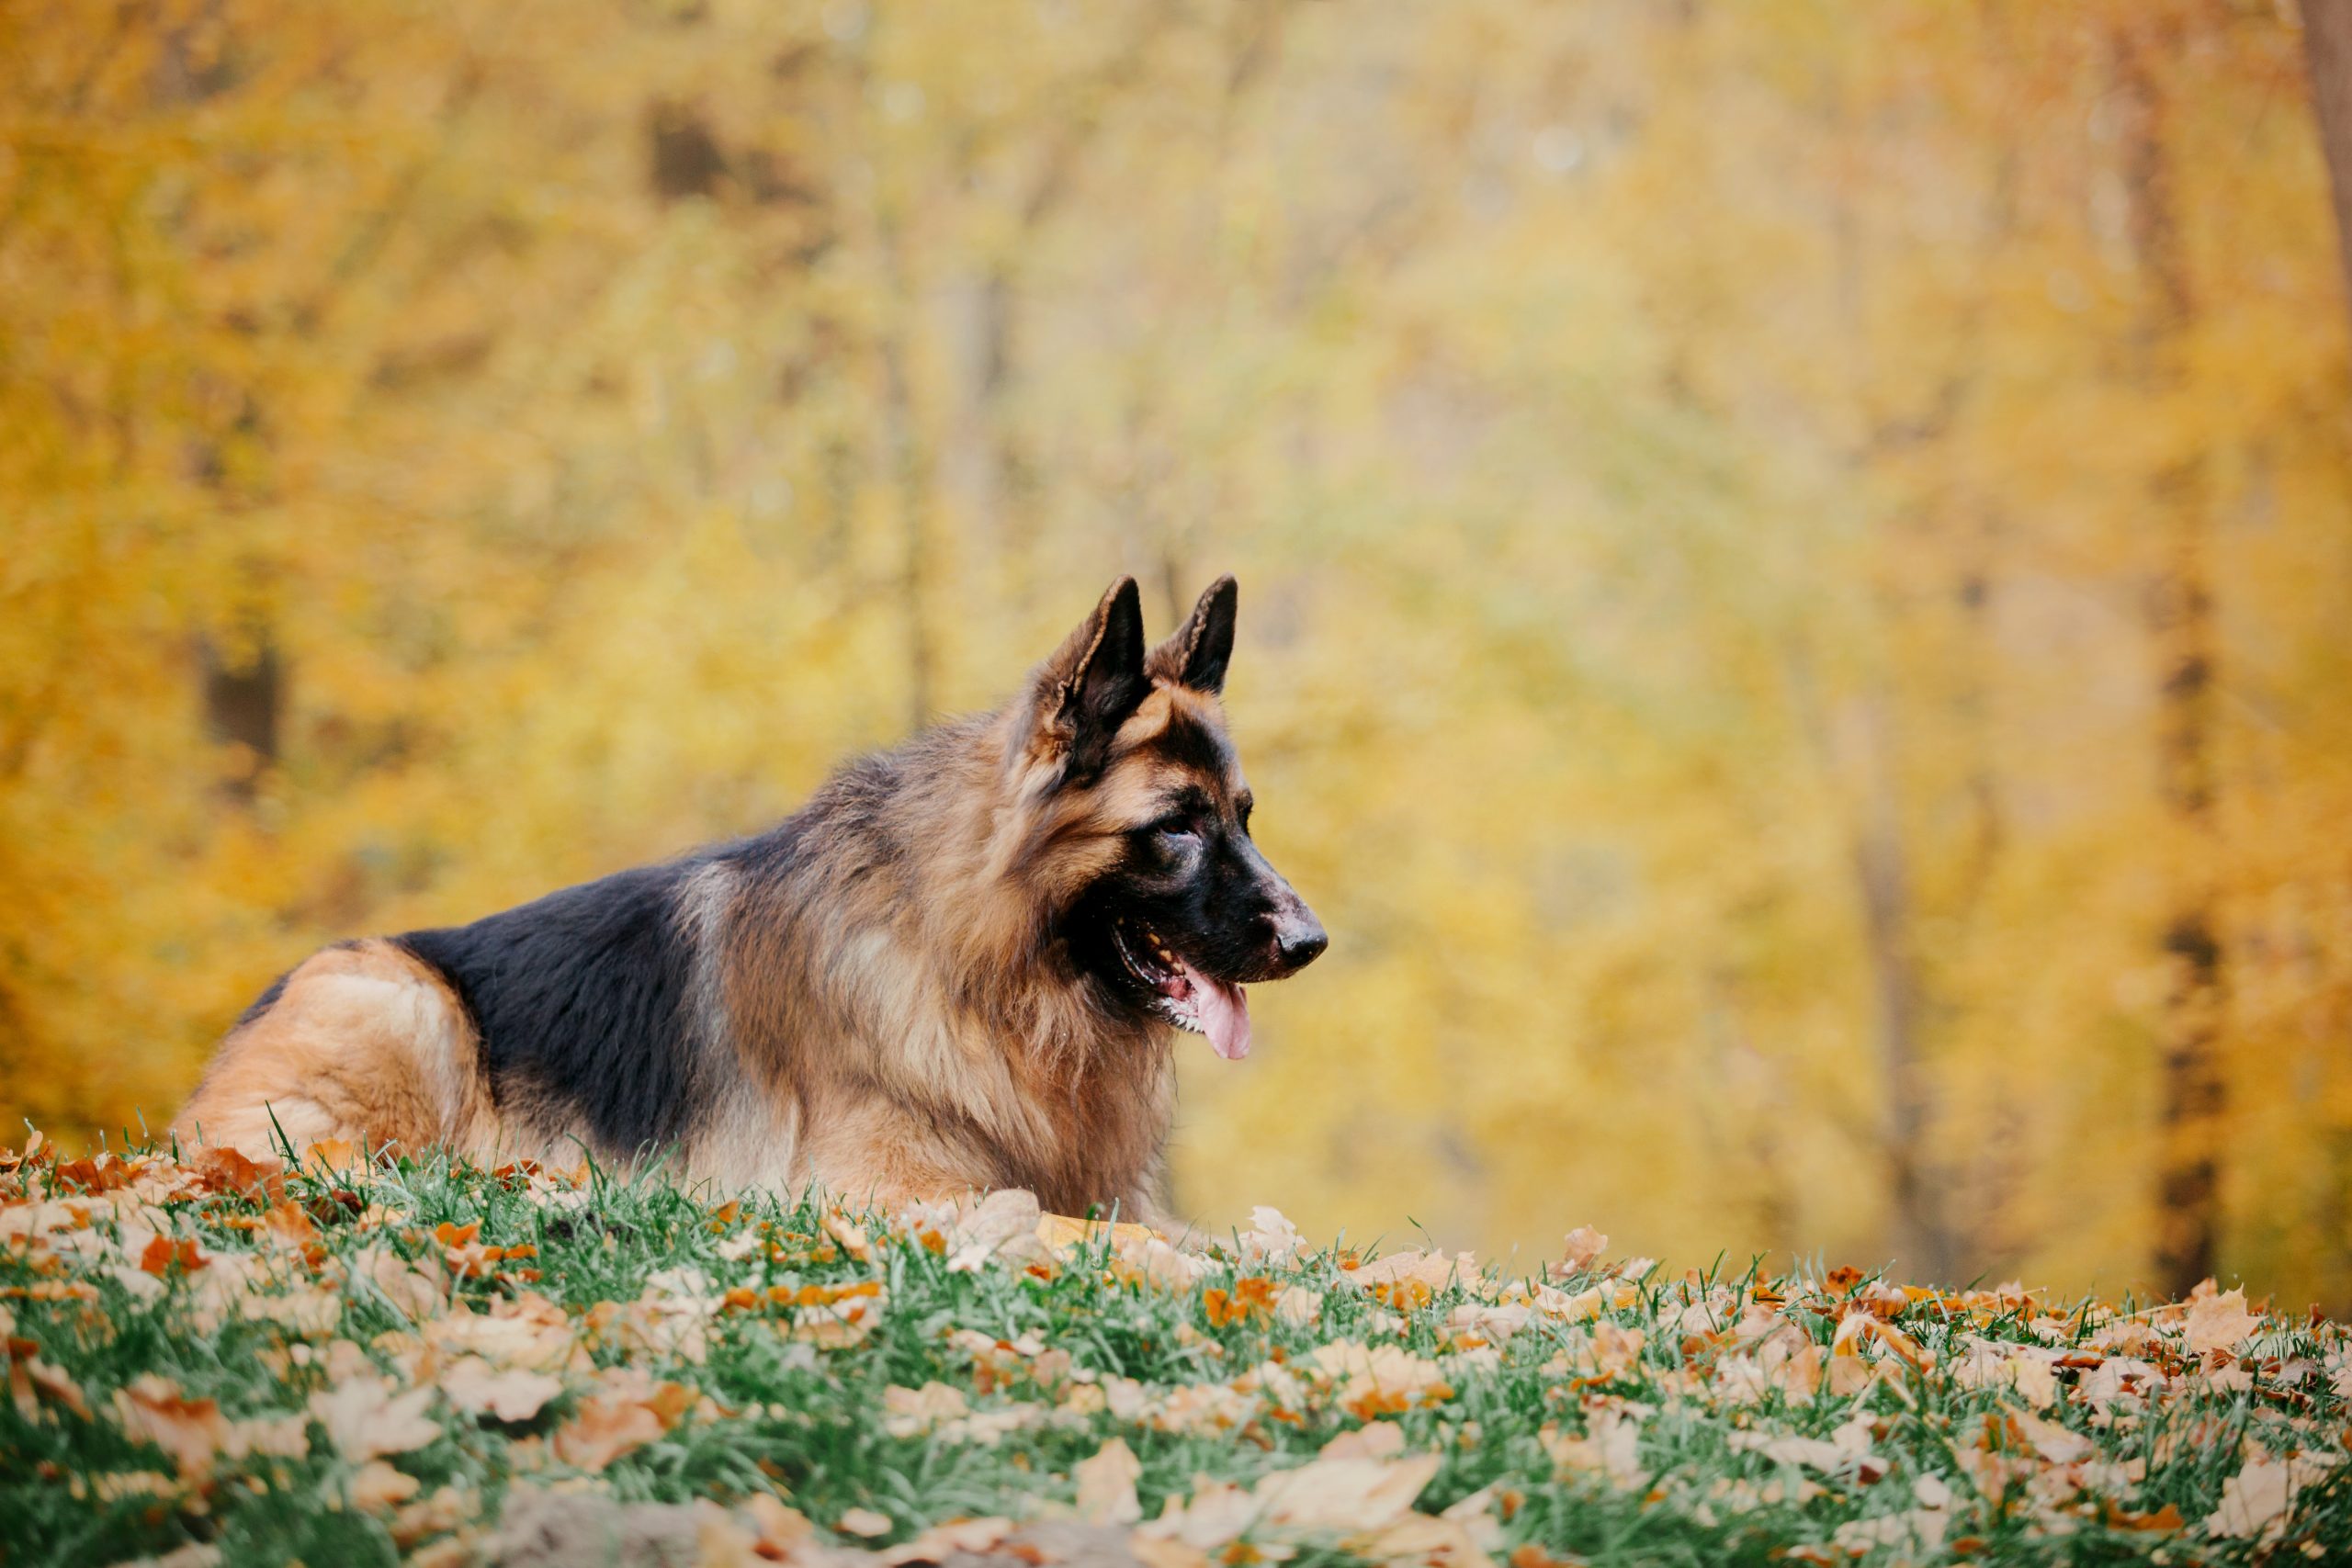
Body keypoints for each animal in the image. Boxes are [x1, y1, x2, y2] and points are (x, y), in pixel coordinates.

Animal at [174, 581, 1326, 1222]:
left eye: (1244, 816)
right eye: (1176, 827)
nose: (1312, 942)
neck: (981, 966)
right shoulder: (910, 1199)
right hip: (401, 1000)